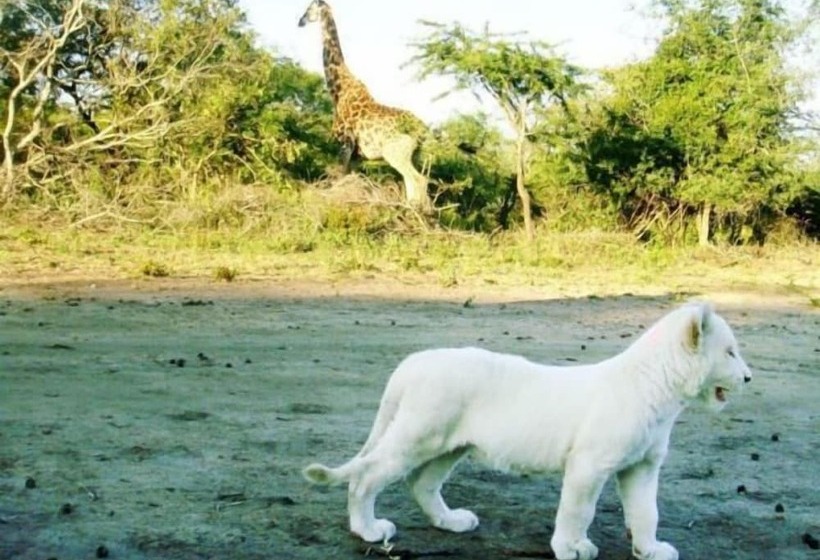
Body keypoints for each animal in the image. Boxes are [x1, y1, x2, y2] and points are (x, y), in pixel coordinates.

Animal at [302, 302, 752, 560]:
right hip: (418, 435)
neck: (664, 392)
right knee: (366, 476)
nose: (749, 377)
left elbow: (646, 512)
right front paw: (571, 548)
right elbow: (578, 510)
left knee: (422, 483)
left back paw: (452, 521)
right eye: (730, 352)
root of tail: (414, 361)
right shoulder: (590, 464)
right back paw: (368, 529)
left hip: (449, 446)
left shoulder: (641, 467)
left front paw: (650, 550)